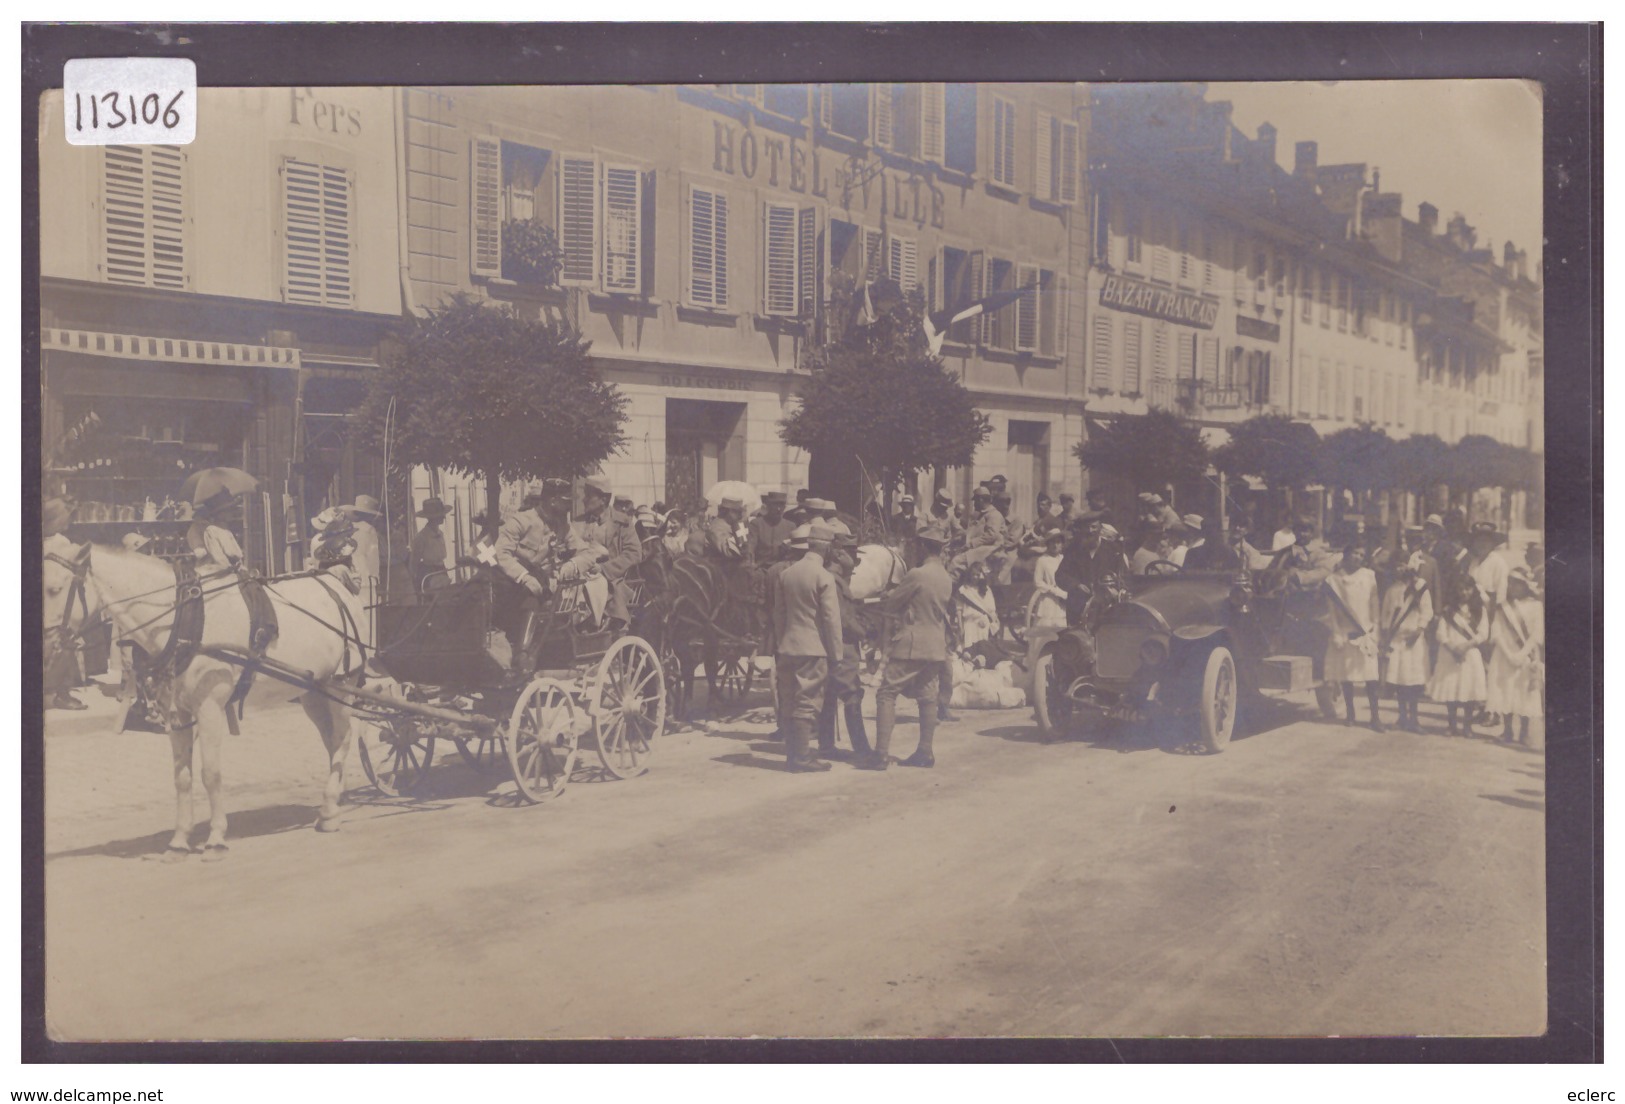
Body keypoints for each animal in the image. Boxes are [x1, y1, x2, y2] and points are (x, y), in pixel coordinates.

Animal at [43, 543, 368, 864]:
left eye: (54, 589)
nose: (45, 648)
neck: (182, 619)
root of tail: (338, 586)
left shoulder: (210, 707)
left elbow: (210, 774)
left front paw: (215, 839)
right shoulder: (176, 713)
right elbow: (182, 777)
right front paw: (179, 841)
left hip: (342, 684)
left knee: (343, 737)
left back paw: (329, 811)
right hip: (313, 693)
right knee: (332, 742)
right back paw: (333, 800)